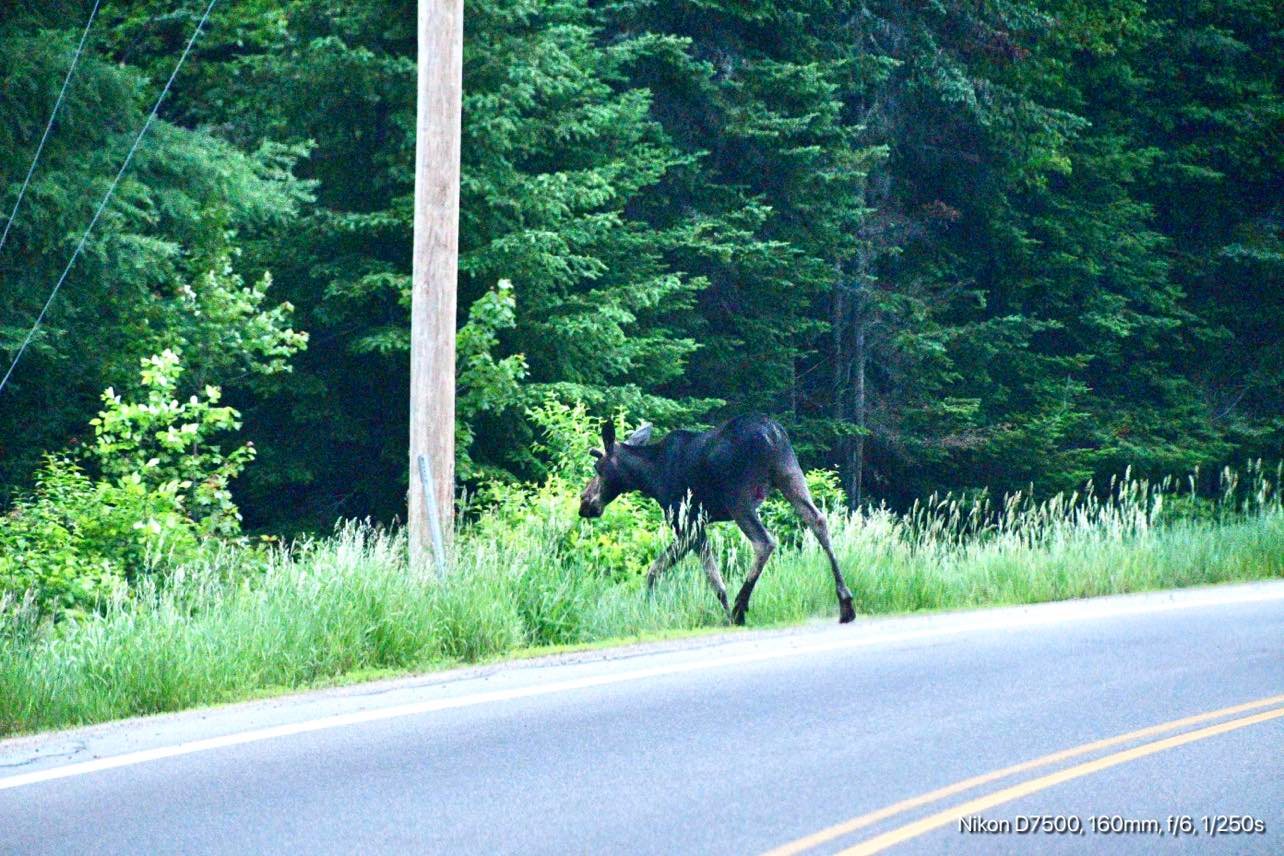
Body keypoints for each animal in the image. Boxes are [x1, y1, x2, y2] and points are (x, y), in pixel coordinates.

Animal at [578, 414, 857, 625]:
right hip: (789, 474)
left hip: (738, 497)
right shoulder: (697, 524)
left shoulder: (687, 523)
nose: (584, 503)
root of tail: (773, 434)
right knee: (818, 521)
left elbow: (675, 572)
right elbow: (677, 570)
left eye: (597, 468)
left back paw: (739, 608)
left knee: (764, 542)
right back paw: (845, 603)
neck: (649, 477)